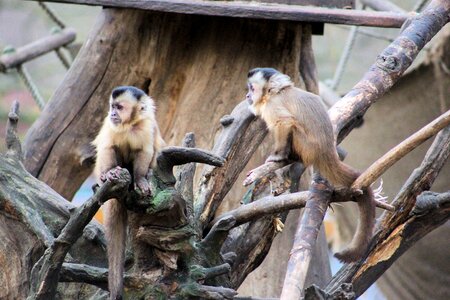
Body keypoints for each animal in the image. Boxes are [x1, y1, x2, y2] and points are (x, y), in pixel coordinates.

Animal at [92, 85, 165, 298]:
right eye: (112, 107)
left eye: (119, 107)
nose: (112, 113)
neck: (129, 125)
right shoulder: (110, 124)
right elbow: (107, 146)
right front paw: (109, 172)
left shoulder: (146, 126)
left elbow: (145, 151)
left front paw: (141, 179)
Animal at [246, 68, 376, 262]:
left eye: (252, 88)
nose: (247, 95)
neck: (276, 93)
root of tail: (326, 151)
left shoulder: (273, 105)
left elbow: (285, 122)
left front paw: (277, 157)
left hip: (306, 147)